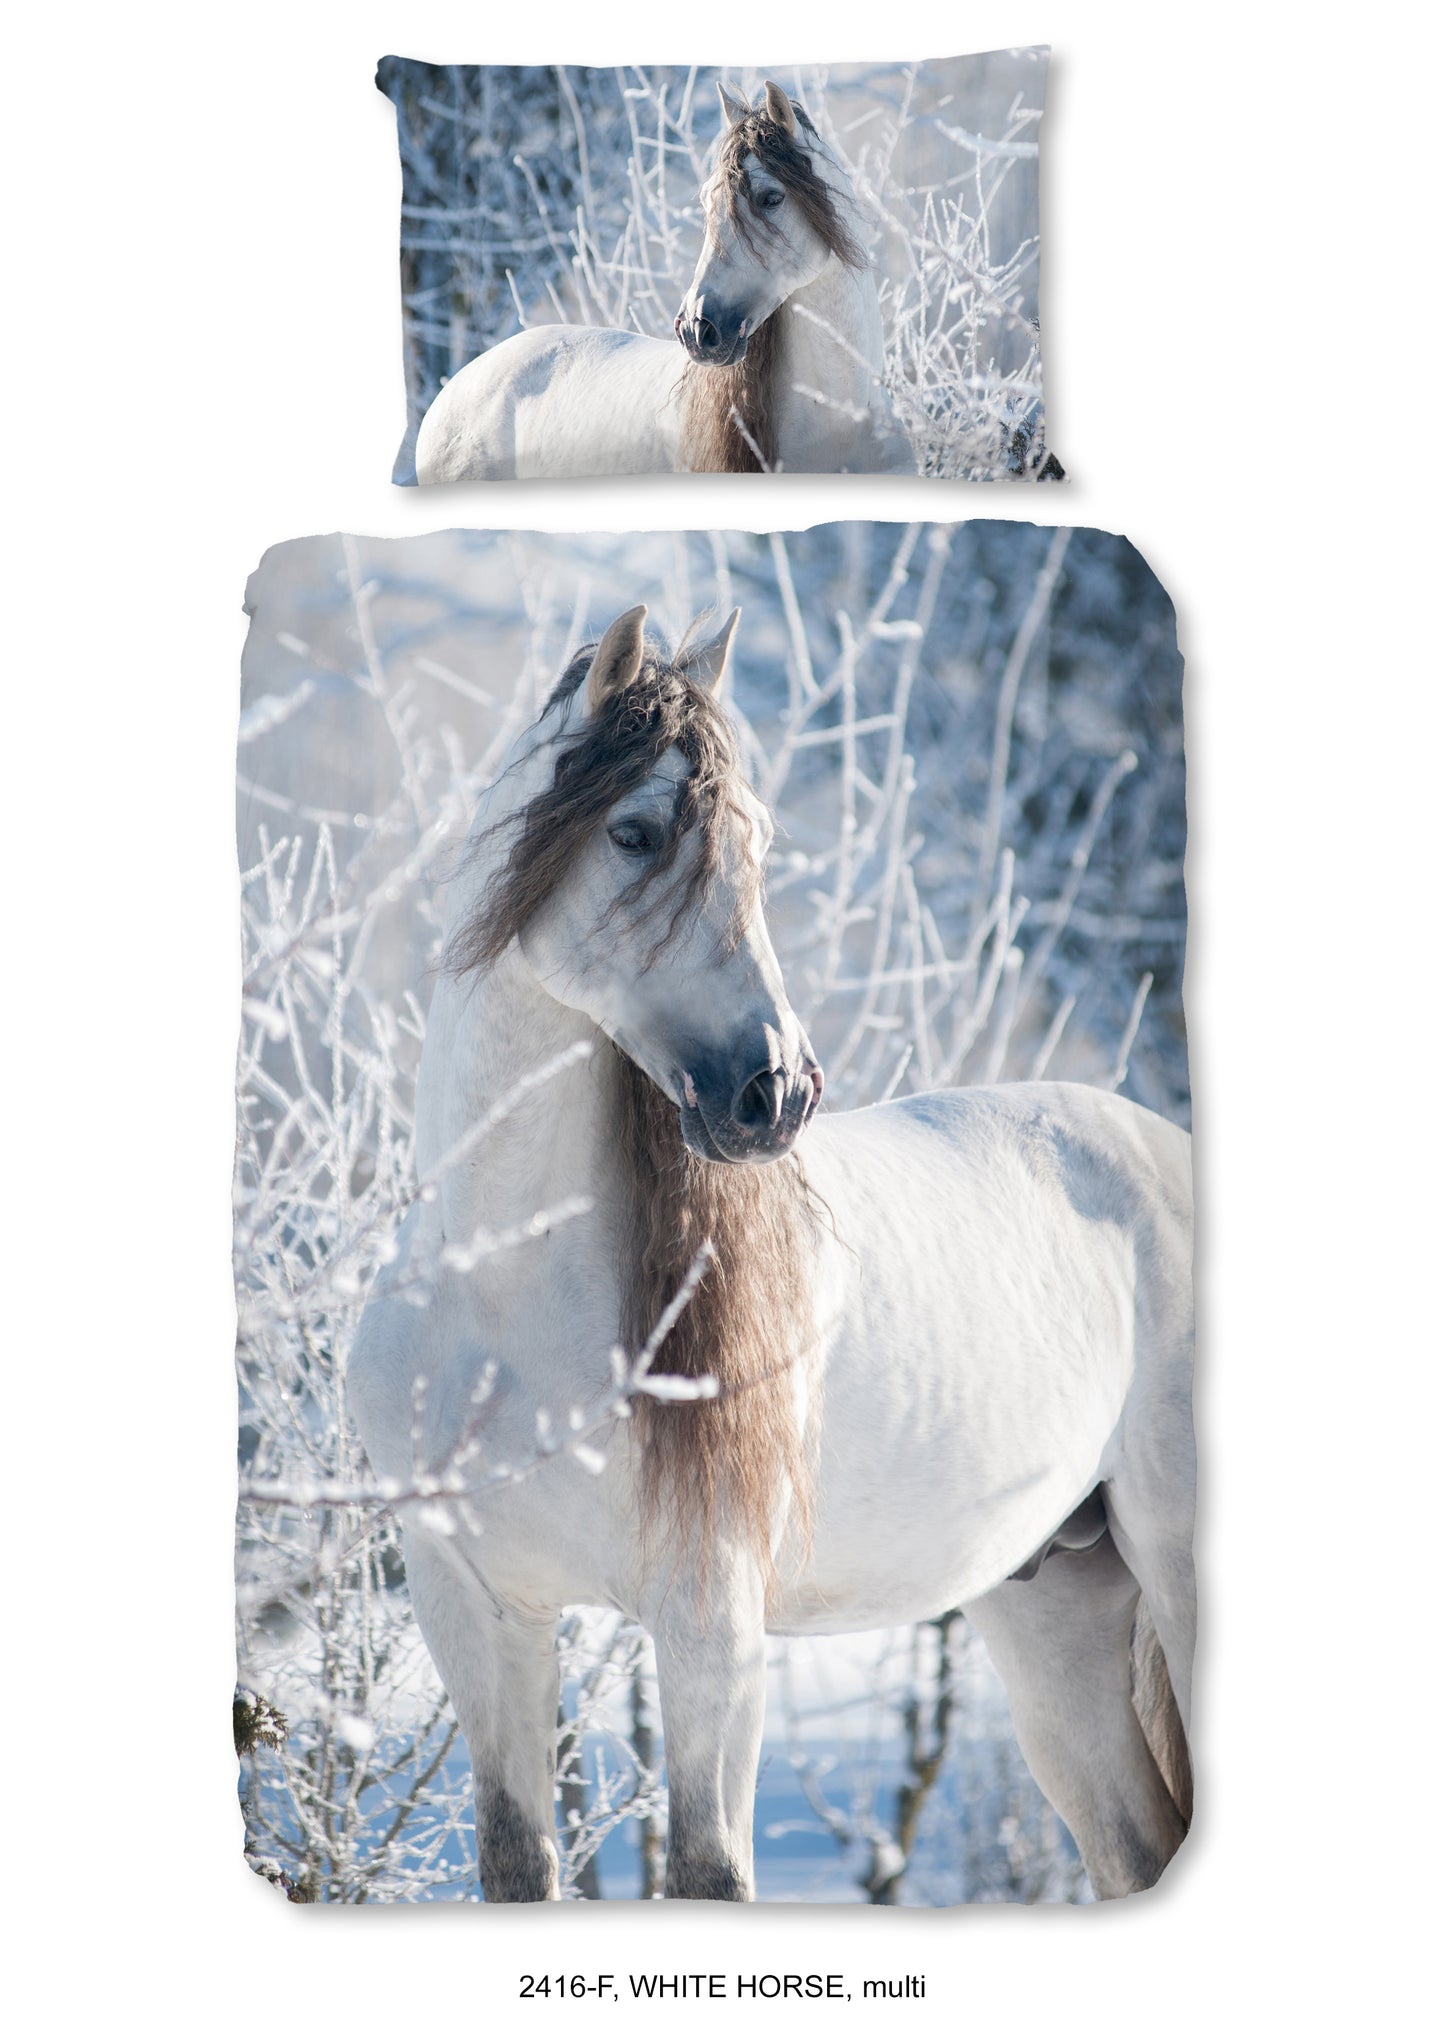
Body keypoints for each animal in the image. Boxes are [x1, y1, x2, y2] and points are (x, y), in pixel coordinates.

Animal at [347, 605, 1196, 1904]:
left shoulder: (709, 1622)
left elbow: (707, 1867)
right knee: (1136, 1849)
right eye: (635, 831)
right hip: (1054, 1605)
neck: (497, 1290)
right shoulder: (477, 1613)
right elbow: (517, 1859)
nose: (775, 1090)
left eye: (755, 841)